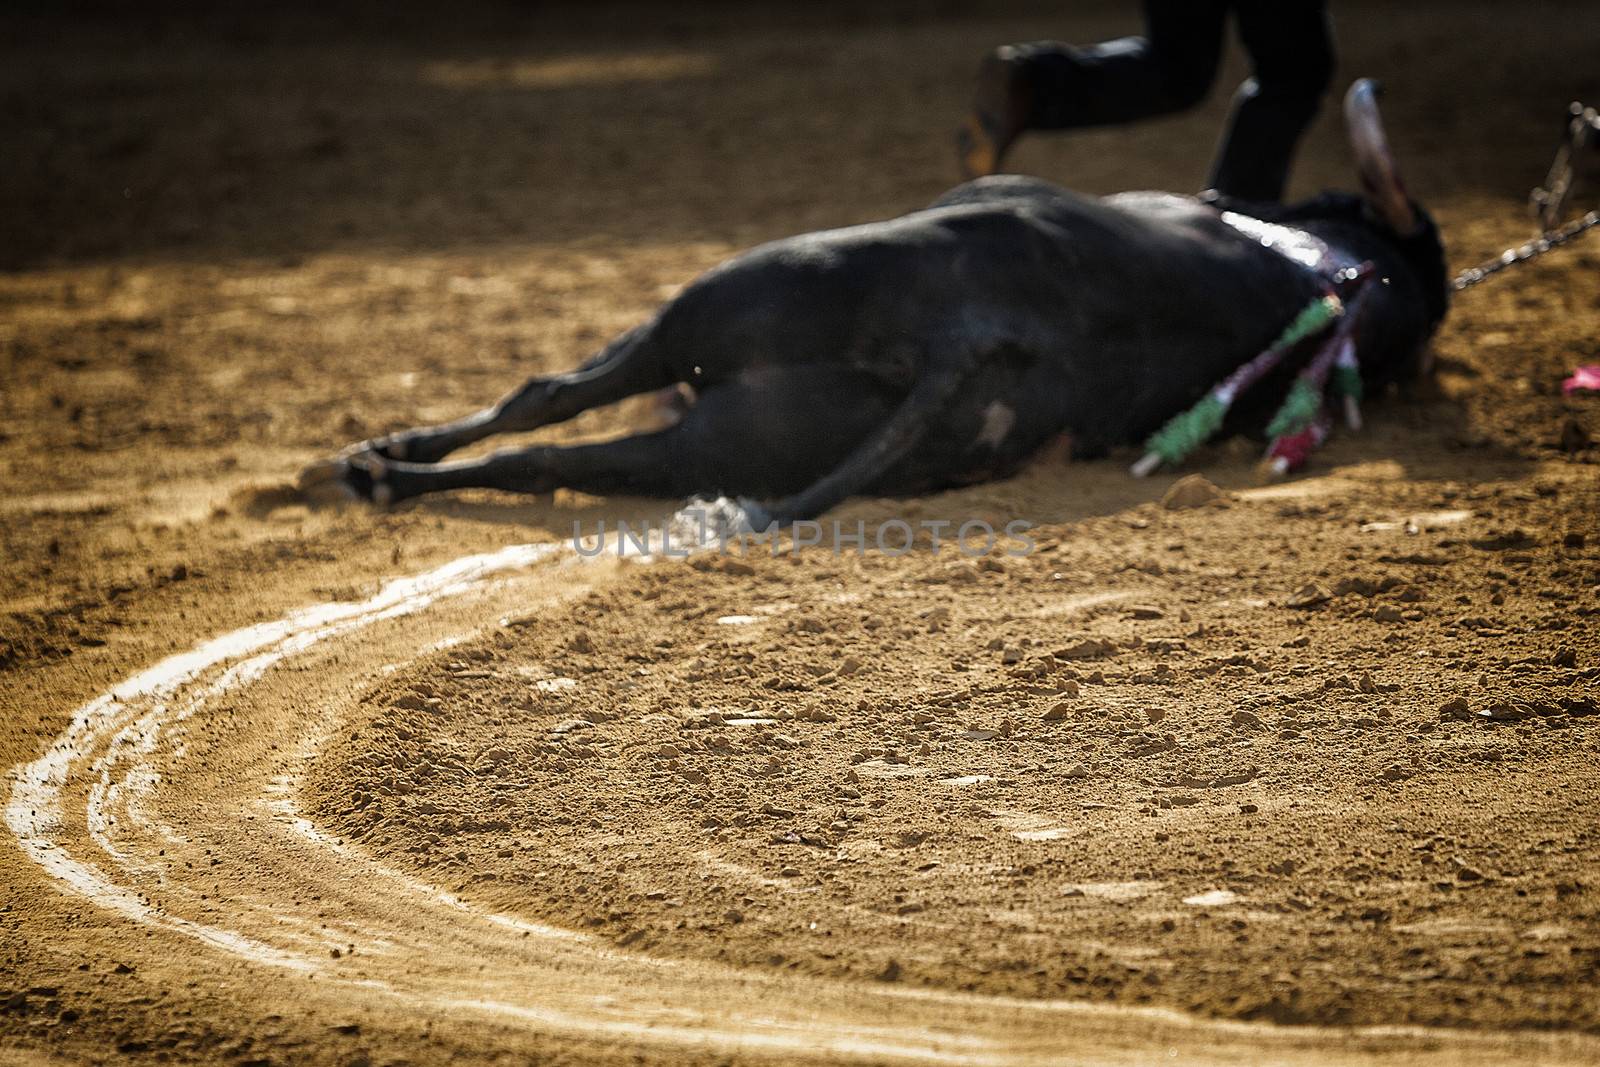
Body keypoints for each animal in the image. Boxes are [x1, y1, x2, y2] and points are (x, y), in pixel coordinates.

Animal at [300, 81, 1452, 531]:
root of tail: (970, 332)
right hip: (726, 440)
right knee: (557, 457)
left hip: (708, 305)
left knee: (543, 404)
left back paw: (379, 468)